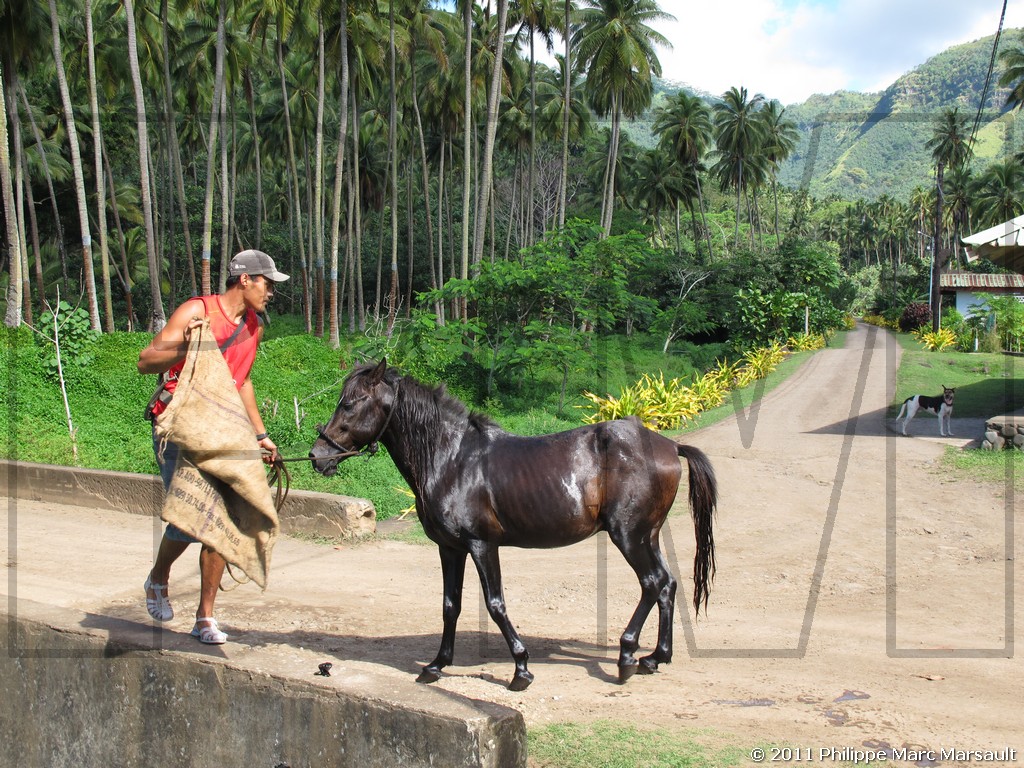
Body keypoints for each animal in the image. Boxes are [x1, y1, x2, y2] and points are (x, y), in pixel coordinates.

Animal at [307, 360, 716, 692]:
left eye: (350, 403)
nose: (316, 456)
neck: (453, 459)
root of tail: (669, 445)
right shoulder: (450, 548)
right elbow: (450, 605)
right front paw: (436, 666)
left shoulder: (481, 545)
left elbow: (495, 604)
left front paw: (521, 668)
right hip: (647, 536)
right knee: (667, 584)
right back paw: (656, 657)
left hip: (628, 536)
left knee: (652, 584)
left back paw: (628, 655)